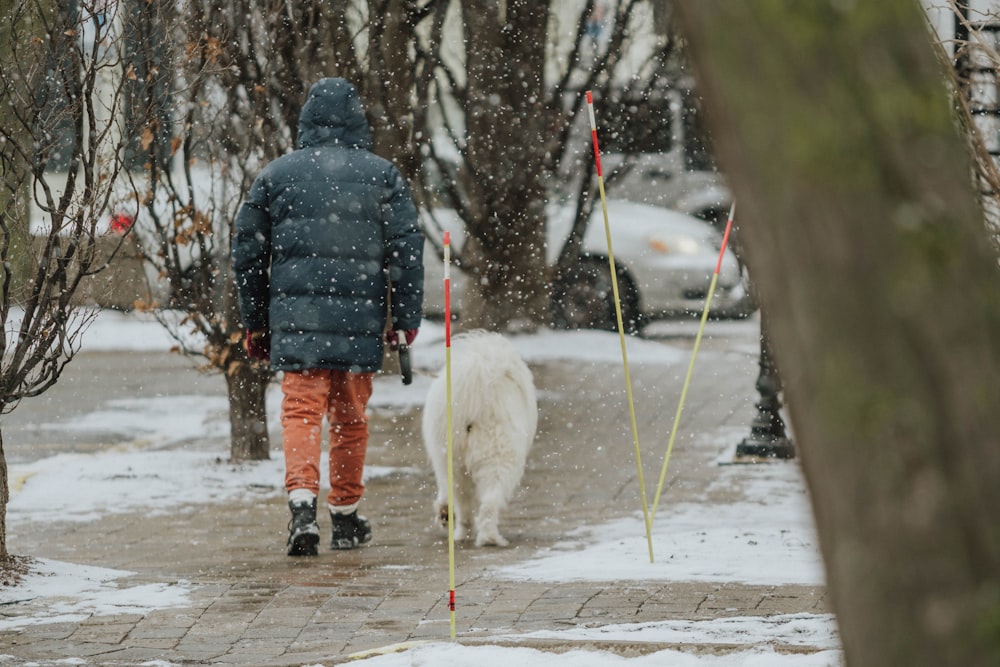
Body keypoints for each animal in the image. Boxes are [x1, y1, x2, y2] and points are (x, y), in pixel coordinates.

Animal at [422, 330, 540, 548]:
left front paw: (444, 513)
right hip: (496, 457)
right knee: (485, 503)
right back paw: (488, 537)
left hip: (457, 461)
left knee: (467, 504)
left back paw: (466, 534)